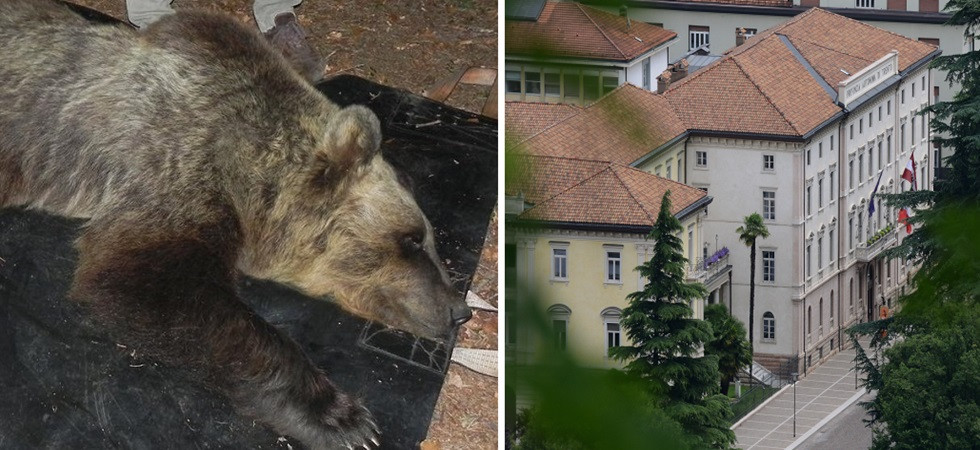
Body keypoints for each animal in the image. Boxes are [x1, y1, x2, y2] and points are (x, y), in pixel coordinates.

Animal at [0, 1, 472, 448]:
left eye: (428, 240)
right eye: (411, 241)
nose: (459, 310)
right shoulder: (174, 162)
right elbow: (141, 278)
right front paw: (342, 418)